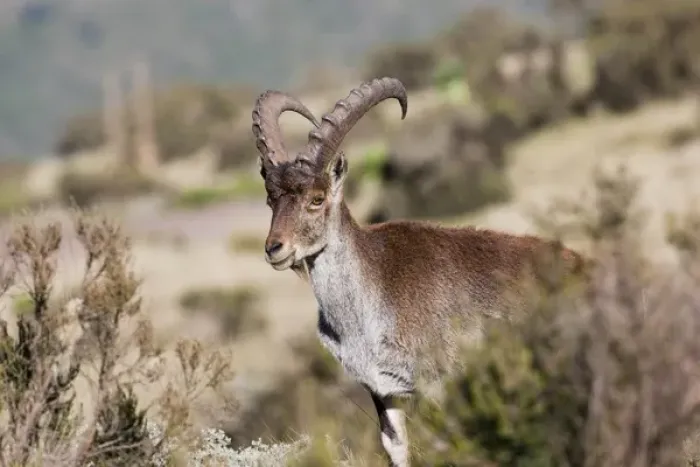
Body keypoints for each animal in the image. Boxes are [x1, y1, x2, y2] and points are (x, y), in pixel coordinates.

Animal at [251, 77, 586, 467]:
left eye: (317, 199)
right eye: (271, 199)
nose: (275, 249)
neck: (366, 305)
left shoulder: (437, 381)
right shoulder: (382, 389)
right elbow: (396, 446)